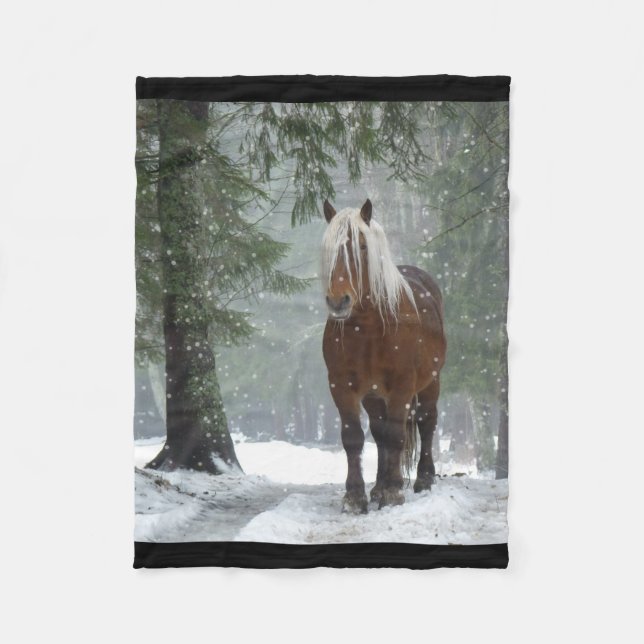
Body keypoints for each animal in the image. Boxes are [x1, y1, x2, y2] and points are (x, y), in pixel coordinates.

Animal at [321, 198, 447, 513]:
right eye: (328, 249)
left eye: (362, 247)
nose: (338, 301)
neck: (368, 327)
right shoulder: (342, 386)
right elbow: (354, 438)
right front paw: (355, 496)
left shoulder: (402, 384)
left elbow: (396, 436)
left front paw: (393, 492)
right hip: (374, 395)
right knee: (379, 434)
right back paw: (377, 487)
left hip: (430, 382)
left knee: (426, 423)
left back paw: (422, 479)